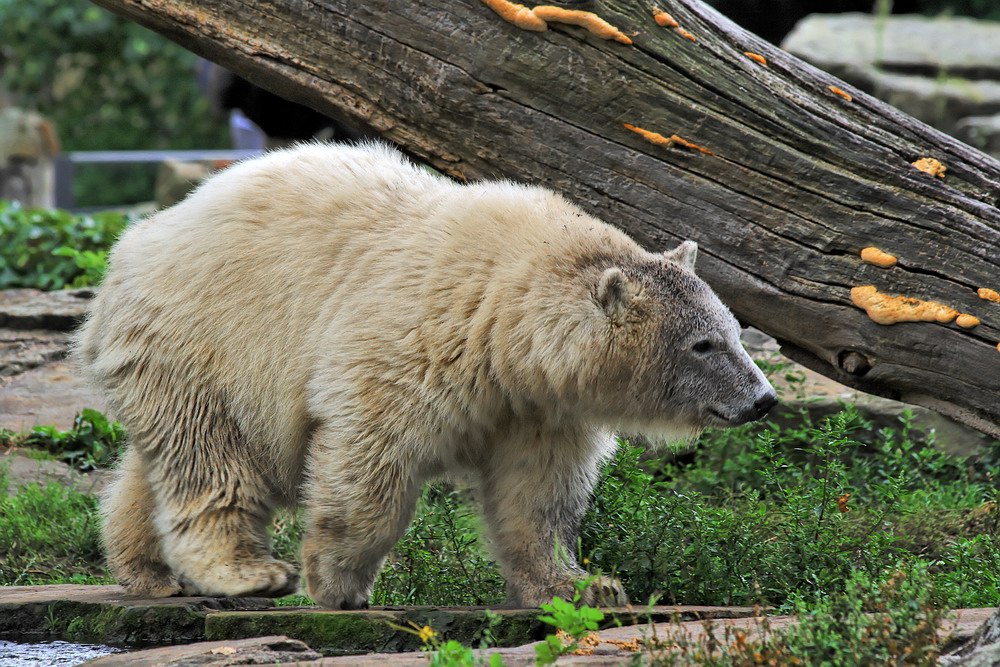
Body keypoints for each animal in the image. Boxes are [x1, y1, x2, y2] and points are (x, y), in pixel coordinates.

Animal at [80, 142, 780, 612]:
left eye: (734, 330)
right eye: (703, 344)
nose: (764, 399)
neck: (504, 319)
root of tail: (137, 241)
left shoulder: (539, 405)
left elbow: (538, 491)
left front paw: (585, 585)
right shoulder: (413, 341)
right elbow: (370, 456)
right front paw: (337, 582)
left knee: (172, 458)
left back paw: (144, 567)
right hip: (212, 338)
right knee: (218, 456)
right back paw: (248, 572)